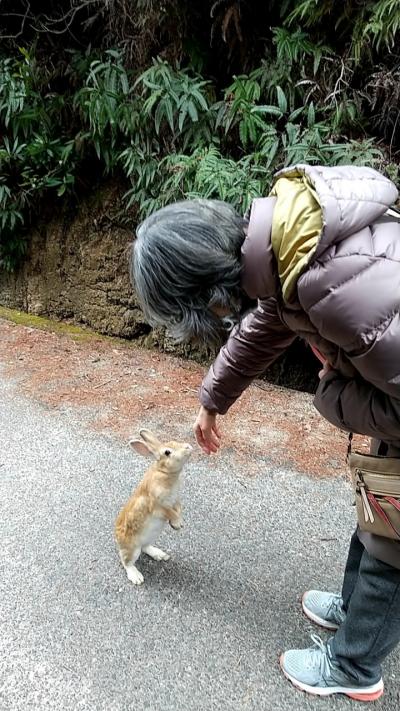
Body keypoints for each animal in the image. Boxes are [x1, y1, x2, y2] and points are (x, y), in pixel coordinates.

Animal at [114, 428, 192, 584]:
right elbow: (170, 512)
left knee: (146, 547)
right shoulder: (157, 505)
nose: (188, 447)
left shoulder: (176, 499)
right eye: (167, 452)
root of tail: (117, 539)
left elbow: (178, 508)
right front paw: (178, 524)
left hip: (151, 536)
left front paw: (177, 524)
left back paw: (160, 555)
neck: (164, 473)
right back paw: (136, 577)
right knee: (126, 561)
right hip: (133, 549)